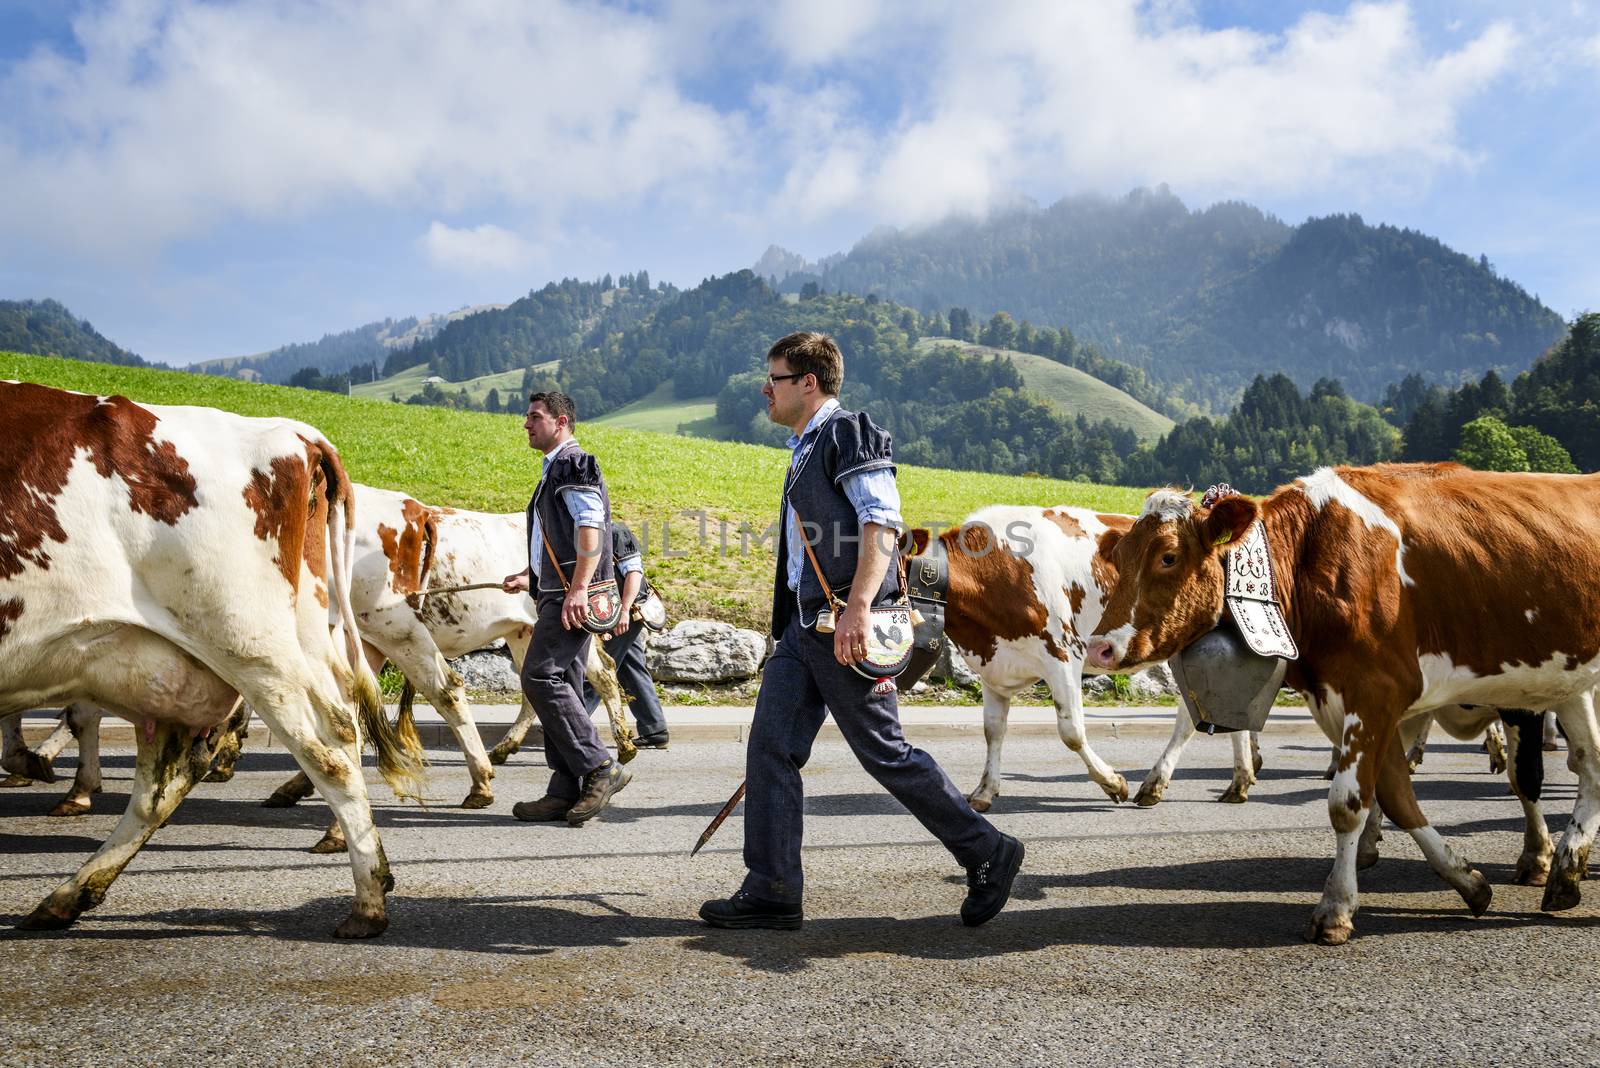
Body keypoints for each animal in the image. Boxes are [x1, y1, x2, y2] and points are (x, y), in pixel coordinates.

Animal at [0, 382, 425, 933]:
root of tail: (296, 434)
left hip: (249, 646)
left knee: (330, 746)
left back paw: (368, 902)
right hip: (187, 663)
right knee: (166, 780)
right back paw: (68, 895)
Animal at [902, 505, 1260, 812]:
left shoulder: (1063, 654)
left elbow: (1071, 732)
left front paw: (1113, 783)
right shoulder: (994, 668)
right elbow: (993, 731)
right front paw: (985, 791)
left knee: (1189, 716)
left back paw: (1156, 784)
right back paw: (1240, 780)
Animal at [1081, 463, 1593, 940]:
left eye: (1168, 556)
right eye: (1120, 557)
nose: (1098, 648)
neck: (1314, 560)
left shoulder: (1376, 692)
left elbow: (1347, 803)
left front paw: (1336, 909)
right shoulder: (1344, 698)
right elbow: (1395, 794)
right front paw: (1468, 881)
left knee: (1557, 769)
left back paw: (1554, 862)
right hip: (1570, 682)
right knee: (1590, 763)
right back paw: (1566, 873)